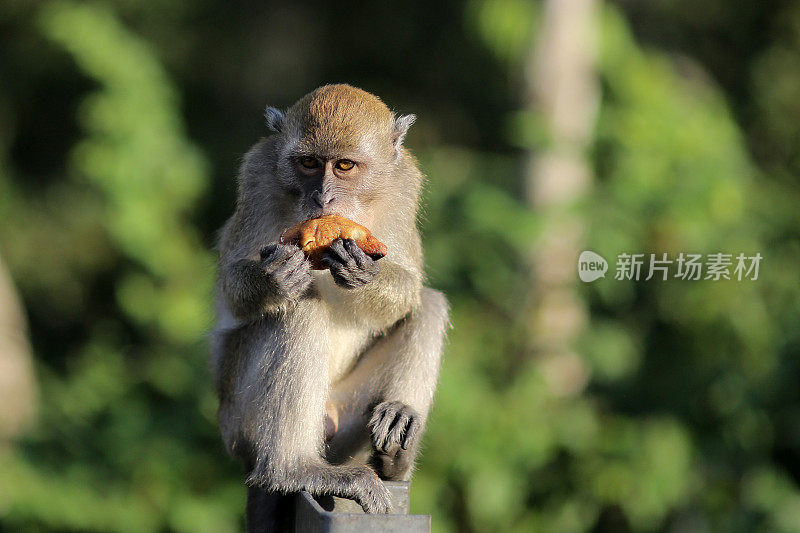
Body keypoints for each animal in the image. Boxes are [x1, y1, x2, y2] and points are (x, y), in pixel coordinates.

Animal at [209, 85, 450, 528]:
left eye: (344, 165)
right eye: (308, 163)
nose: (323, 196)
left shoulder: (404, 184)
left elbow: (409, 287)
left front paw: (363, 271)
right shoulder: (256, 175)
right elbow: (234, 286)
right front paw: (274, 277)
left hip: (349, 419)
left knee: (429, 303)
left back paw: (396, 452)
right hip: (239, 416)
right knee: (302, 309)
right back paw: (294, 468)